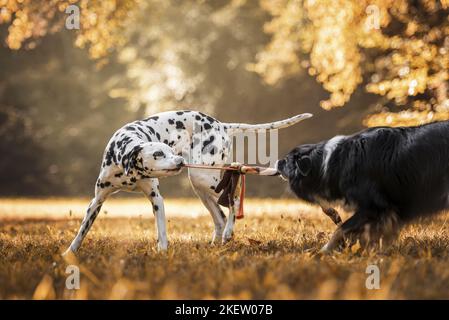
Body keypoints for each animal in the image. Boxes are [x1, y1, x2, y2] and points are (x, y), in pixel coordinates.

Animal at [63, 110, 310, 255]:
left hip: (204, 177)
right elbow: (82, 230)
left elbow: (162, 231)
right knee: (219, 216)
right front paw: (69, 253)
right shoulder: (96, 201)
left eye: (170, 151)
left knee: (234, 197)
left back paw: (229, 231)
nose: (180, 161)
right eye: (158, 154)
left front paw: (162, 252)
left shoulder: (157, 199)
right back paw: (215, 244)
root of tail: (221, 124)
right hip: (200, 187)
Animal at [276, 121, 449, 254]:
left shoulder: (375, 207)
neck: (332, 162)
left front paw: (323, 251)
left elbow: (341, 229)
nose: (277, 161)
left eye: (286, 160)